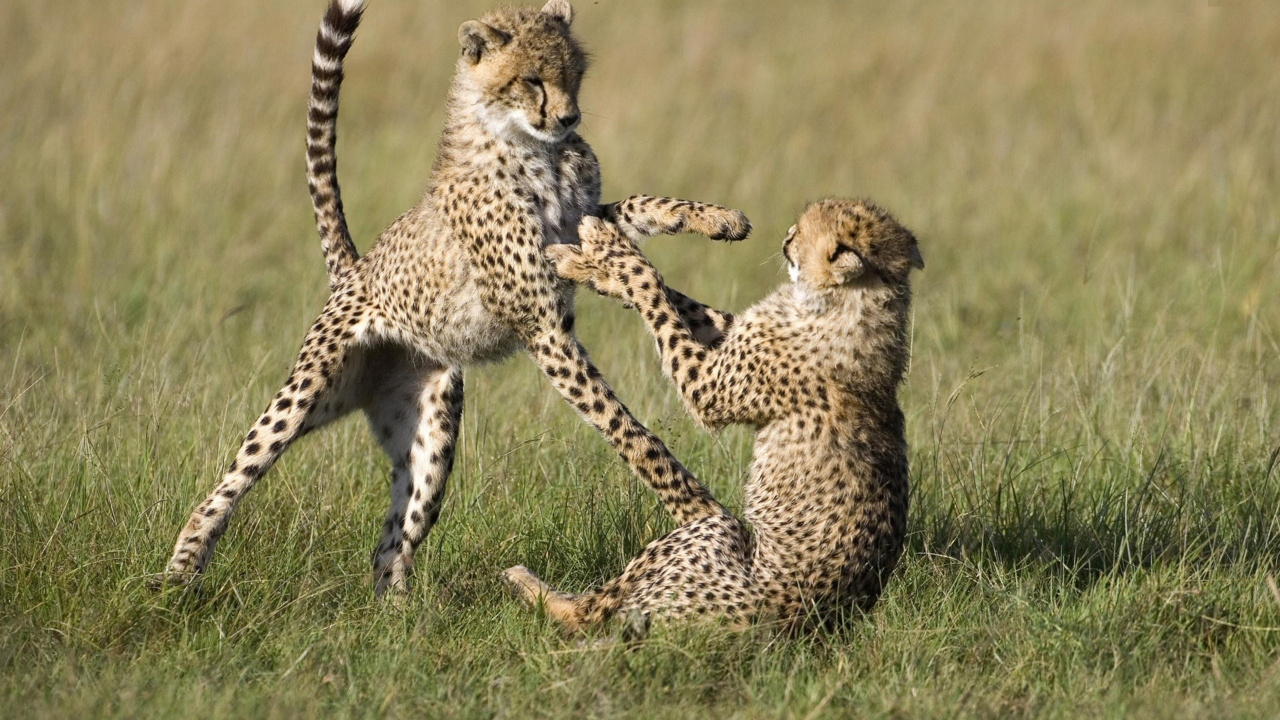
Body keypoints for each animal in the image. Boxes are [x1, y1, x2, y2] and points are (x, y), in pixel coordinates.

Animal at [155, 0, 752, 598]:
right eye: (531, 80)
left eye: (573, 74)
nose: (568, 119)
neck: (532, 147)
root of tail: (356, 270)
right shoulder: (542, 322)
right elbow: (629, 429)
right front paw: (699, 511)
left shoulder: (577, 229)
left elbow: (639, 222)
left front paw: (718, 222)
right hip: (308, 394)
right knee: (231, 481)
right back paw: (179, 576)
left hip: (432, 434)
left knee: (391, 545)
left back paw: (402, 615)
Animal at [503, 198, 924, 632]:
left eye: (804, 233)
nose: (787, 236)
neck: (854, 302)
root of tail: (804, 622)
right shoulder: (732, 333)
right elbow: (683, 300)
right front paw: (590, 265)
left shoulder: (706, 386)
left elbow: (650, 284)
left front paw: (607, 247)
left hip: (710, 534)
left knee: (590, 612)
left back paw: (524, 582)